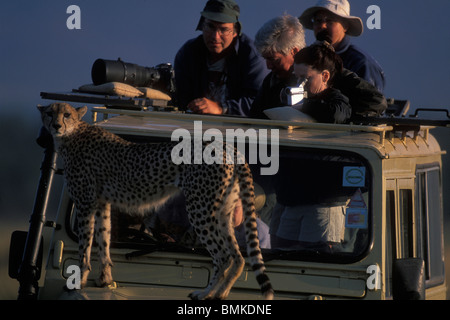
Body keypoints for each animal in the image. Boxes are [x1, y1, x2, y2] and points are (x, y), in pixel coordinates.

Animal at [38, 103, 272, 300]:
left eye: (66, 114)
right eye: (50, 113)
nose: (56, 125)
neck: (73, 134)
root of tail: (228, 146)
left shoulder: (85, 203)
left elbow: (84, 247)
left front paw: (78, 283)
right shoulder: (102, 204)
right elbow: (104, 241)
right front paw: (105, 281)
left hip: (200, 209)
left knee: (224, 256)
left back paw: (205, 293)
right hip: (223, 212)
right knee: (238, 256)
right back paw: (220, 294)